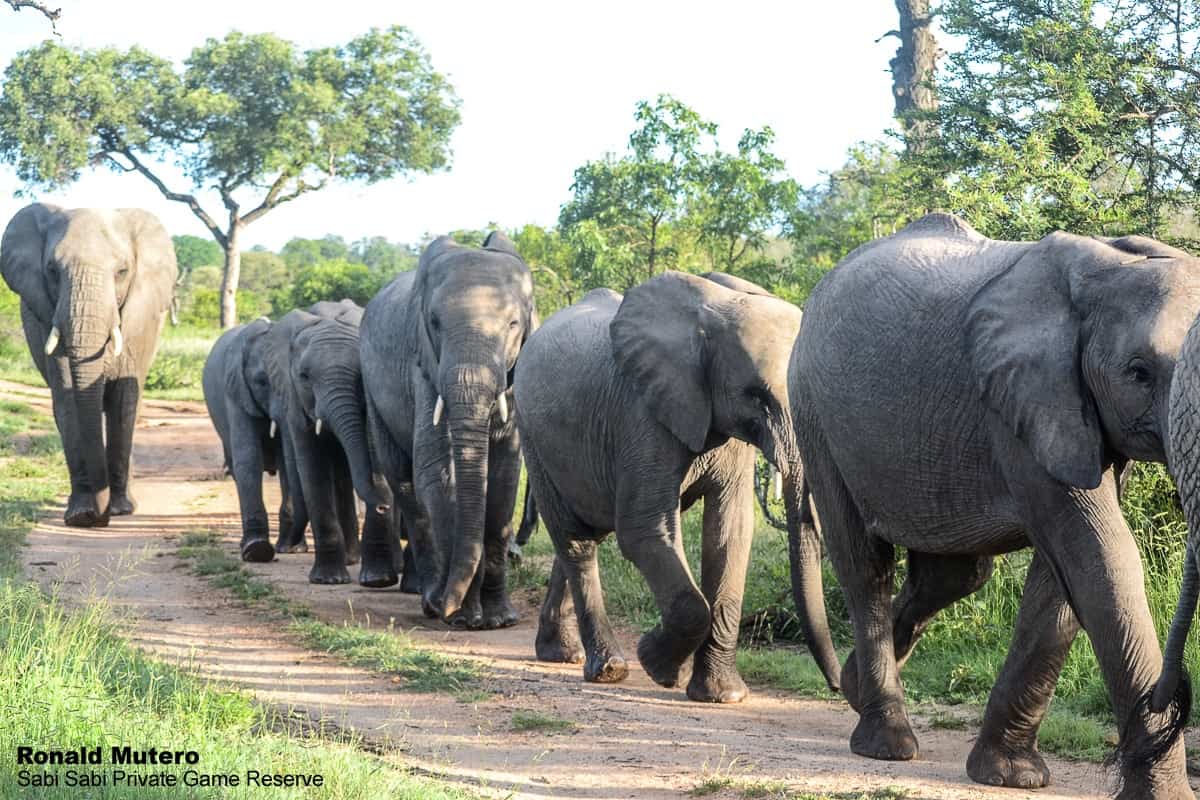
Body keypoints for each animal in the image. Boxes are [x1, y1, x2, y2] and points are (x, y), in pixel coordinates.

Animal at [1, 203, 177, 527]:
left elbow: (123, 400)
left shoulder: (138, 323)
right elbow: (68, 398)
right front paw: (81, 515)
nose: (100, 516)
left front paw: (119, 510)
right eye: (52, 271)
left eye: (122, 272)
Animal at [361, 231, 535, 628]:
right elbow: (438, 471)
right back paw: (428, 599)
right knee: (403, 481)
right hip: (371, 389)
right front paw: (465, 617)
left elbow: (504, 477)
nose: (449, 607)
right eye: (435, 323)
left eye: (514, 324)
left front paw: (500, 619)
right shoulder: (423, 364)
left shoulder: (514, 377)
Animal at [514, 271, 837, 703]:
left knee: (586, 533)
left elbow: (730, 532)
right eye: (756, 396)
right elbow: (645, 529)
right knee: (575, 541)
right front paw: (658, 665)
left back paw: (560, 653)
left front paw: (722, 696)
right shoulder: (642, 413)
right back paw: (609, 669)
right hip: (532, 437)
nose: (838, 685)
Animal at [789, 212, 1200, 798]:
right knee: (864, 564)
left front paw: (1012, 776)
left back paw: (851, 687)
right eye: (1138, 373)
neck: (1114, 266)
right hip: (815, 414)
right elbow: (1099, 557)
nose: (1172, 695)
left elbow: (1061, 581)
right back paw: (888, 744)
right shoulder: (1022, 404)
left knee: (955, 575)